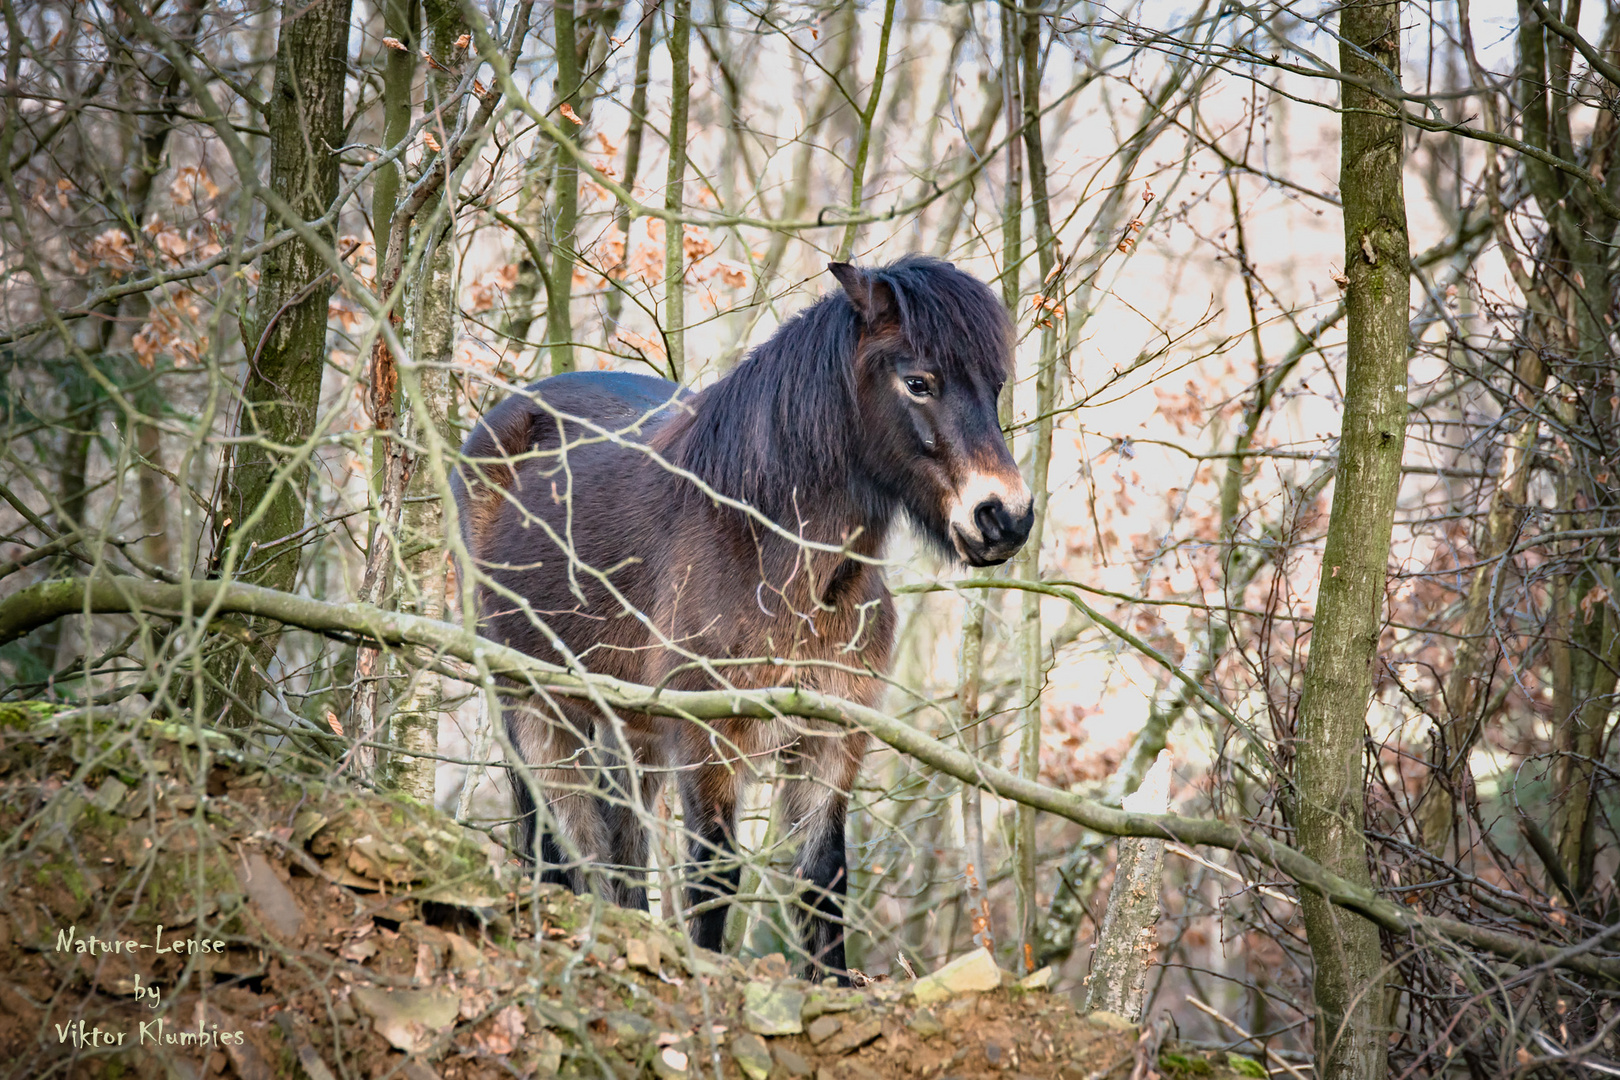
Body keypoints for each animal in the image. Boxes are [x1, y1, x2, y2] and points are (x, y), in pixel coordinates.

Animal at [453, 255, 1036, 977]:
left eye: (995, 385)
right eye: (919, 382)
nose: (1004, 517)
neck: (774, 562)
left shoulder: (832, 740)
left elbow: (822, 879)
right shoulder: (708, 741)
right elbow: (714, 879)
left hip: (627, 728)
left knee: (619, 850)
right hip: (529, 699)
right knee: (552, 834)